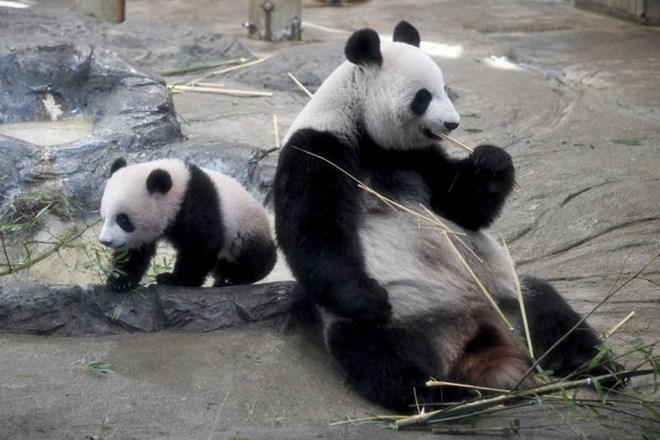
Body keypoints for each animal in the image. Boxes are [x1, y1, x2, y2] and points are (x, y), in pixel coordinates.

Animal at [98, 158, 276, 292]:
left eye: (123, 220)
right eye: (104, 217)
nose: (105, 241)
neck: (179, 189)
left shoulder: (197, 205)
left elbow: (200, 246)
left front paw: (174, 279)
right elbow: (135, 251)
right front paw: (120, 280)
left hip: (244, 228)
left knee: (254, 257)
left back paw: (236, 276)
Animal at [272, 20, 620, 410]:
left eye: (444, 88)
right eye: (423, 96)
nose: (453, 124)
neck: (363, 128)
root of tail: (474, 328)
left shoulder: (417, 158)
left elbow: (462, 206)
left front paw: (491, 162)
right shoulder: (319, 149)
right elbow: (313, 230)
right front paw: (369, 299)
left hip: (506, 296)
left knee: (550, 313)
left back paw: (603, 369)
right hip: (405, 319)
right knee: (377, 355)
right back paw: (444, 395)